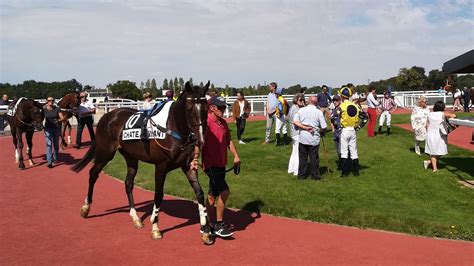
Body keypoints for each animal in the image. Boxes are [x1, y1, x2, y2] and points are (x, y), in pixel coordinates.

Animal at [71, 82, 215, 244]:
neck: (172, 128)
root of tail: (107, 116)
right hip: (105, 154)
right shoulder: (161, 166)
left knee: (128, 183)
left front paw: (206, 230)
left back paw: (135, 218)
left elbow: (200, 193)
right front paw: (155, 228)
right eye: (189, 108)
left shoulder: (188, 165)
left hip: (131, 157)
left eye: (206, 108)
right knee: (93, 174)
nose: (200, 139)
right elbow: (158, 195)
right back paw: (86, 208)